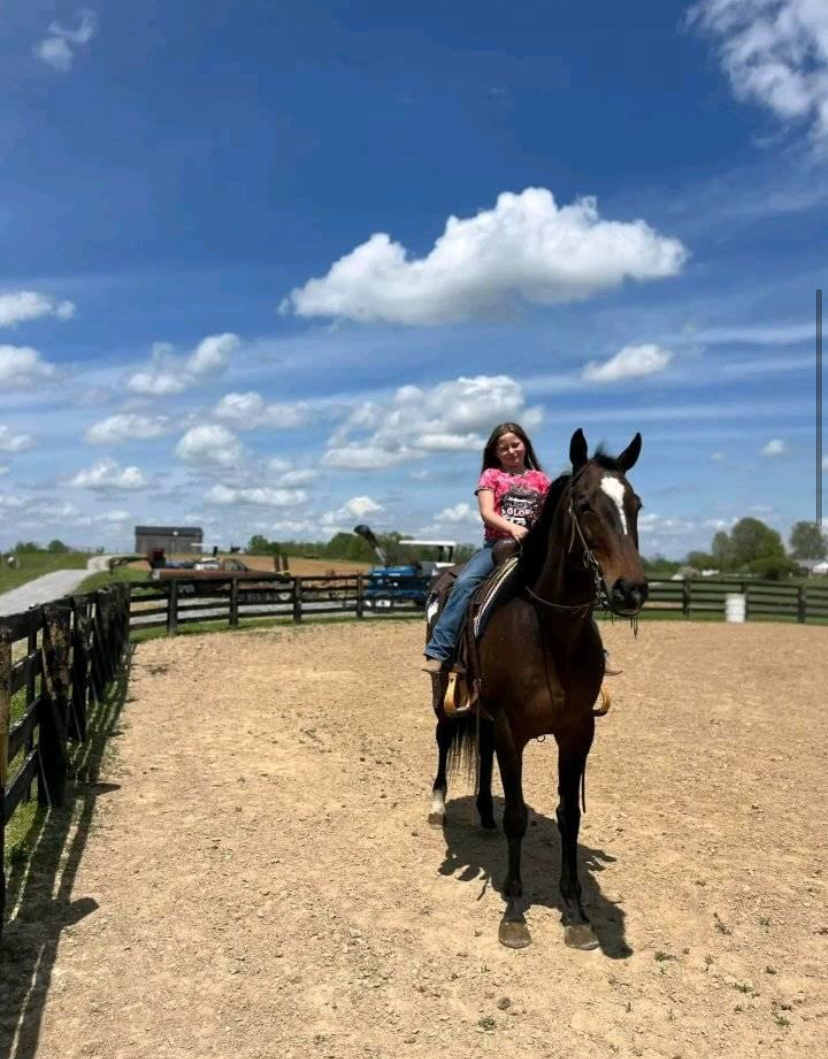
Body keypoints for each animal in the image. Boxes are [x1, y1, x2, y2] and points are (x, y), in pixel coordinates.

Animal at [428, 428, 648, 950]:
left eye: (635, 504)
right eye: (584, 504)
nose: (630, 589)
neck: (548, 631)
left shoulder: (578, 732)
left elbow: (569, 815)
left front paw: (577, 912)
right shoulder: (513, 729)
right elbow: (518, 815)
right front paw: (514, 912)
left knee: (482, 752)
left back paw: (483, 814)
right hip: (445, 698)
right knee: (444, 741)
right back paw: (439, 805)